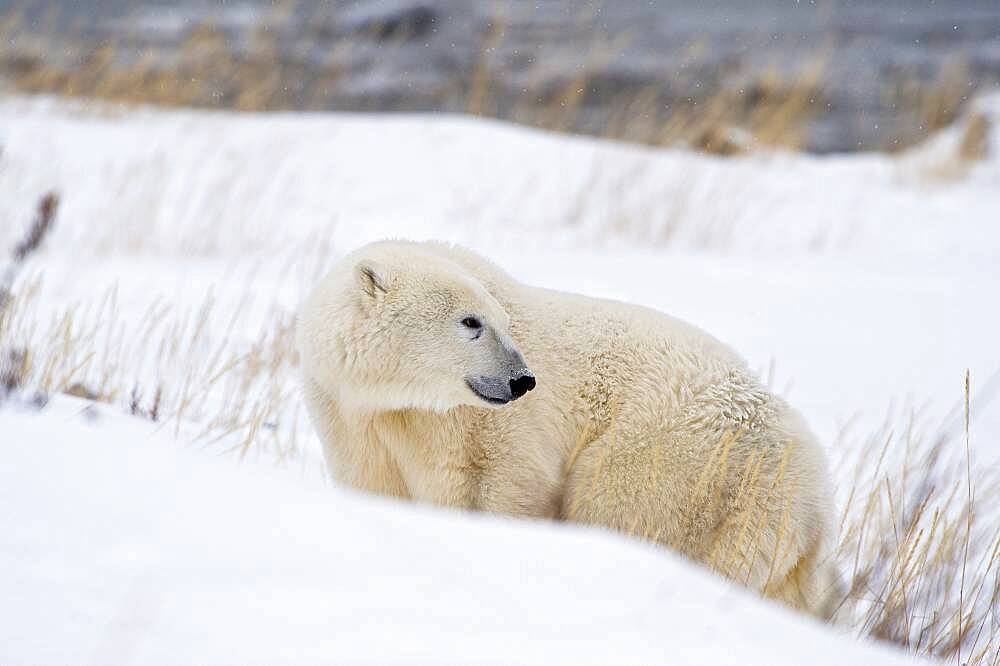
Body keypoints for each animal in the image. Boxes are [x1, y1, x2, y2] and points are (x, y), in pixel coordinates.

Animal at [298, 239, 844, 616]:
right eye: (471, 321)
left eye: (499, 321)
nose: (522, 380)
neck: (396, 399)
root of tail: (813, 495)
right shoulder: (352, 416)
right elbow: (377, 484)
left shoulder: (484, 428)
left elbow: (500, 485)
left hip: (677, 465)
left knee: (628, 514)